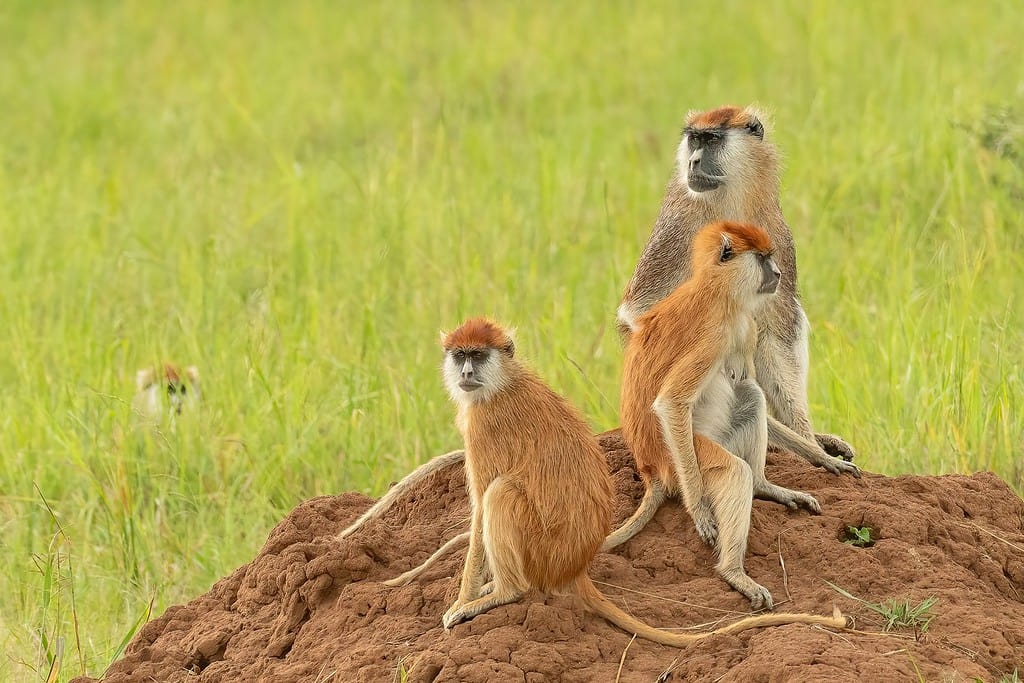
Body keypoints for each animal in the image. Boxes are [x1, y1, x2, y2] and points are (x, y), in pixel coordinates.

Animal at [428, 316, 846, 643]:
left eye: (478, 355)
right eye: (460, 355)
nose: (466, 373)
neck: (502, 380)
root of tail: (576, 567)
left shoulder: (482, 425)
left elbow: (480, 508)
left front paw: (462, 603)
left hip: (543, 550)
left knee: (500, 494)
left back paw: (504, 592)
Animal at [609, 221, 831, 609]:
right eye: (763, 258)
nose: (777, 273)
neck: (719, 290)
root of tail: (650, 468)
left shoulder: (746, 326)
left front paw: (824, 457)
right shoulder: (716, 332)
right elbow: (671, 403)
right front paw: (699, 509)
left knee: (751, 396)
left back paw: (764, 485)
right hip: (687, 457)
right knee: (732, 470)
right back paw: (733, 572)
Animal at [617, 105, 858, 473]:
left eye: (712, 140)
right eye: (695, 139)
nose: (693, 161)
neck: (729, 200)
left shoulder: (775, 231)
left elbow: (777, 327)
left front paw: (808, 439)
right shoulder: (679, 226)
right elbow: (643, 311)